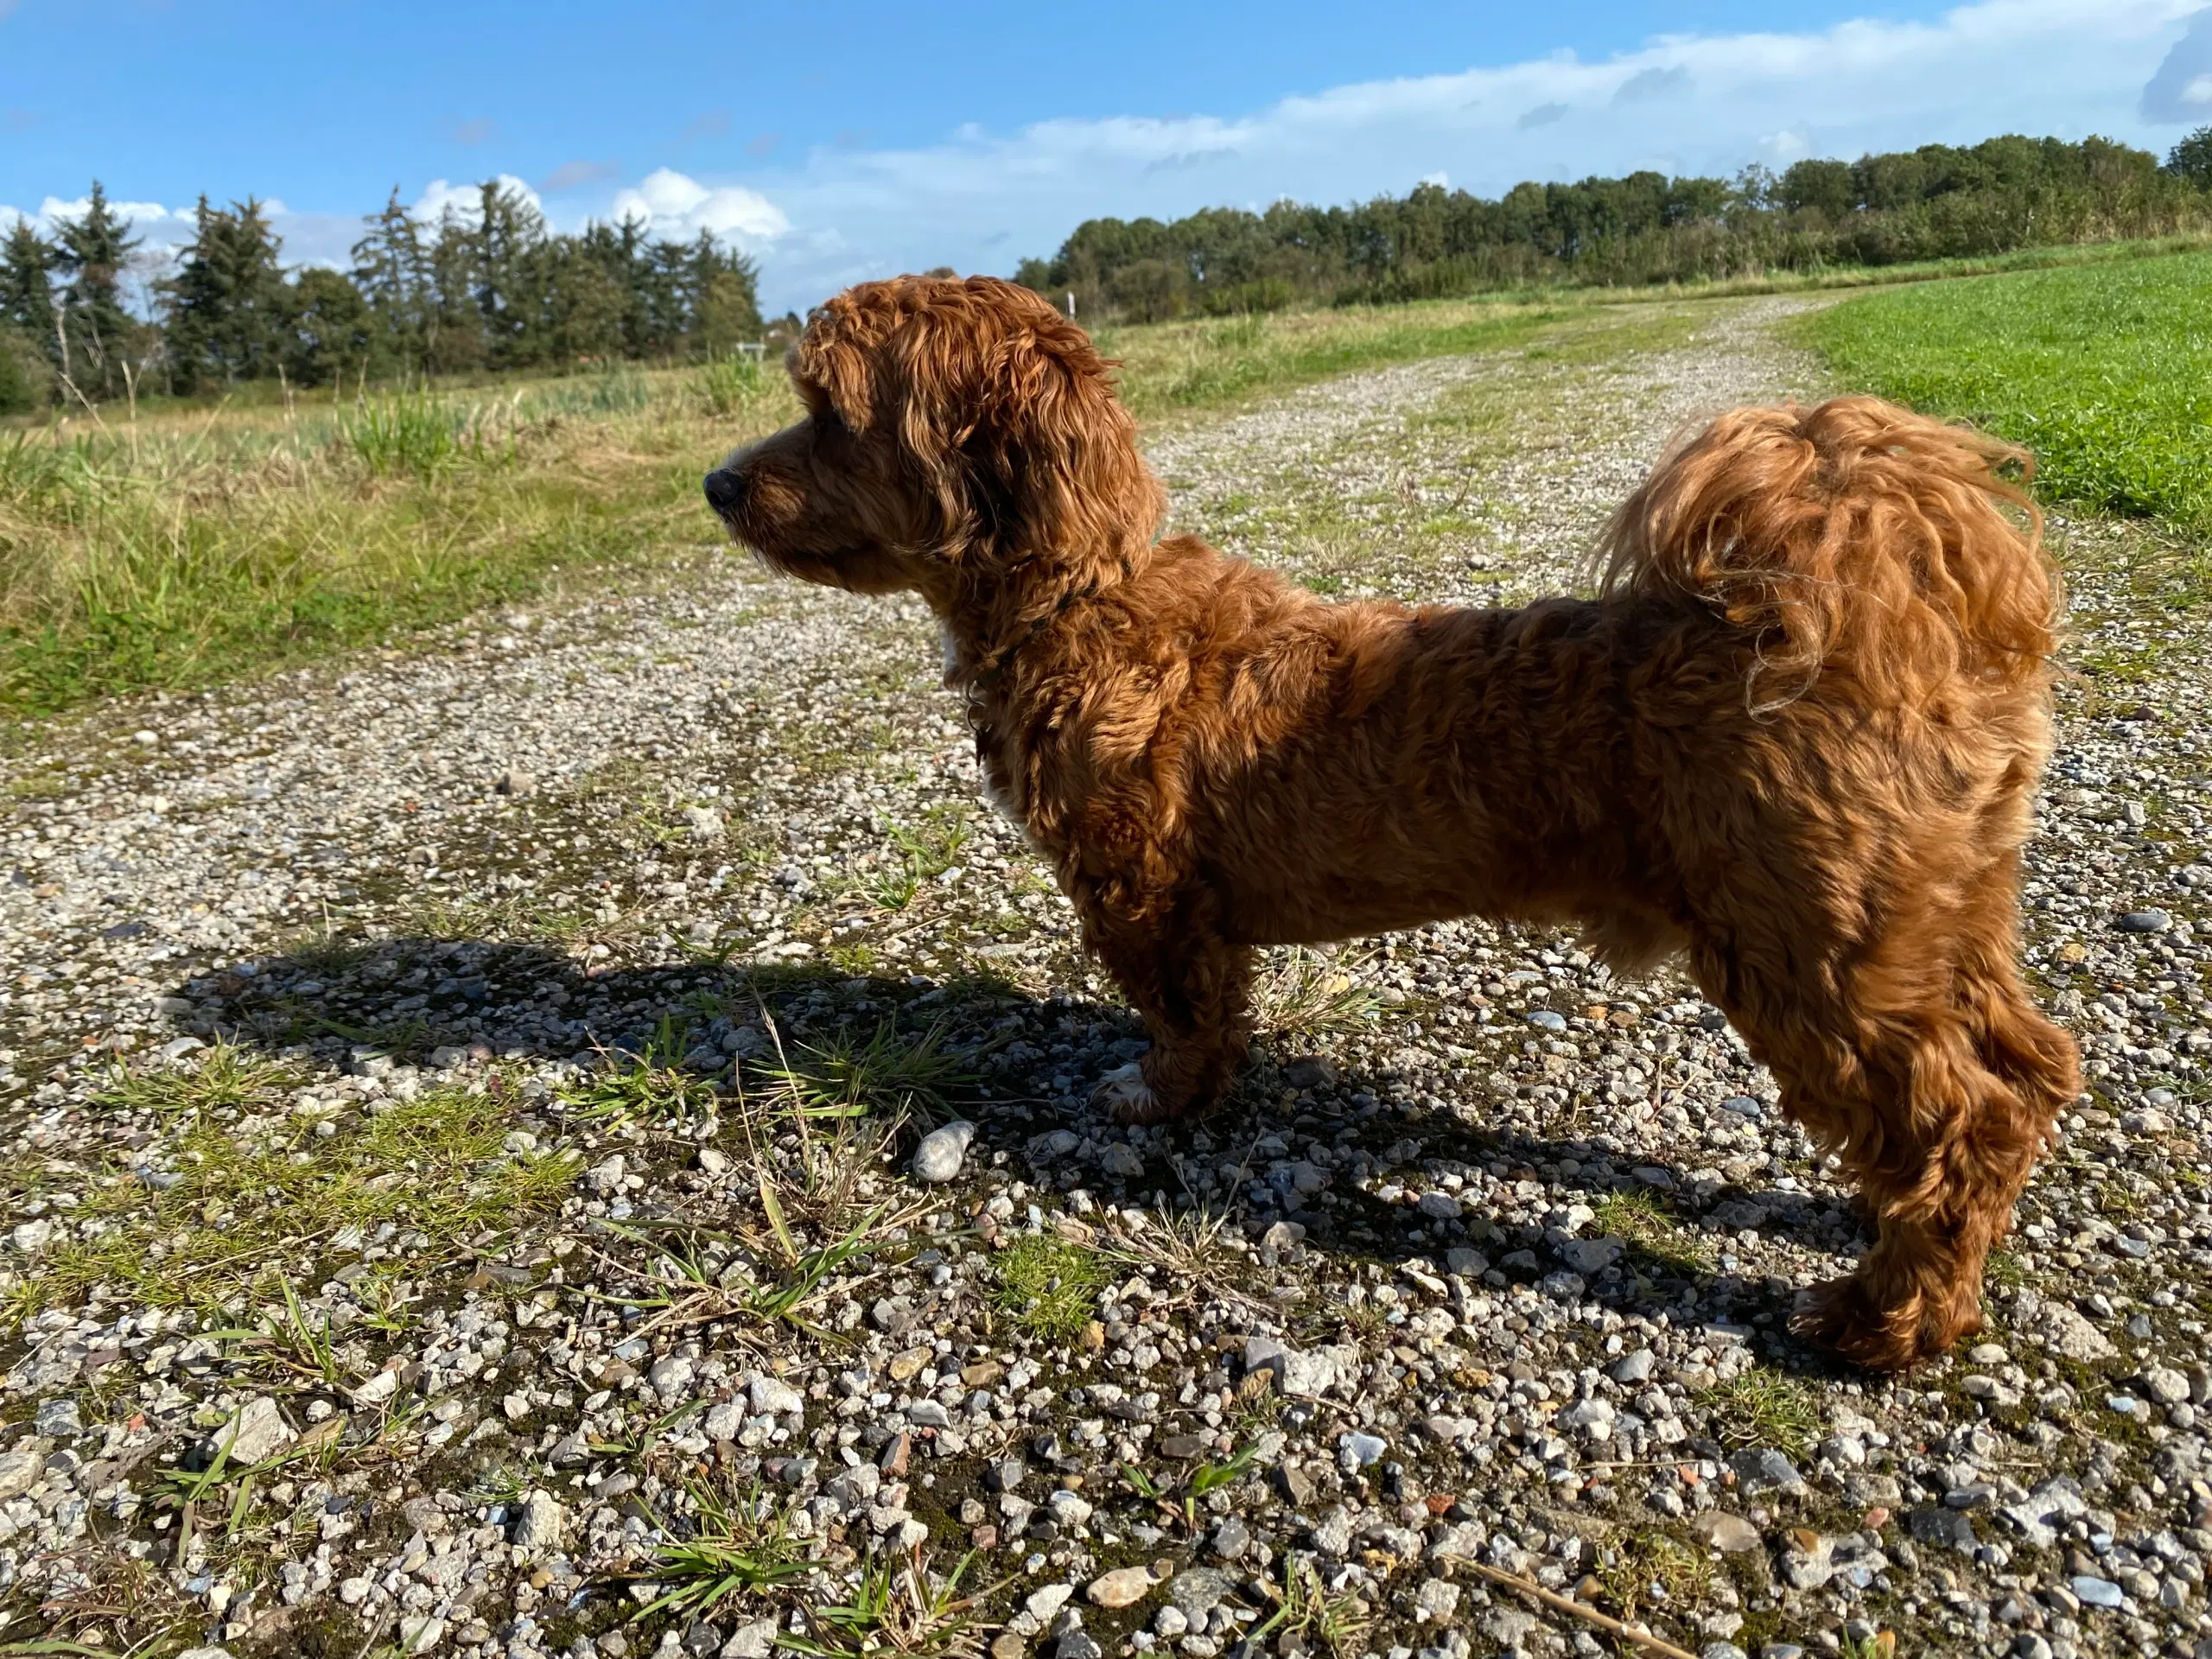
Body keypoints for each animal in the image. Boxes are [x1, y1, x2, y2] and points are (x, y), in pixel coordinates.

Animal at [708, 273, 2070, 1371]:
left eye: (829, 410)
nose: (715, 483)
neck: (1087, 598)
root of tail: (1873, 618)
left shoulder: (1141, 893)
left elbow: (1182, 1018)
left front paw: (1158, 1098)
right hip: (1933, 927)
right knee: (2027, 1071)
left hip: (1813, 950)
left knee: (1965, 1122)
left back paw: (1891, 1320)